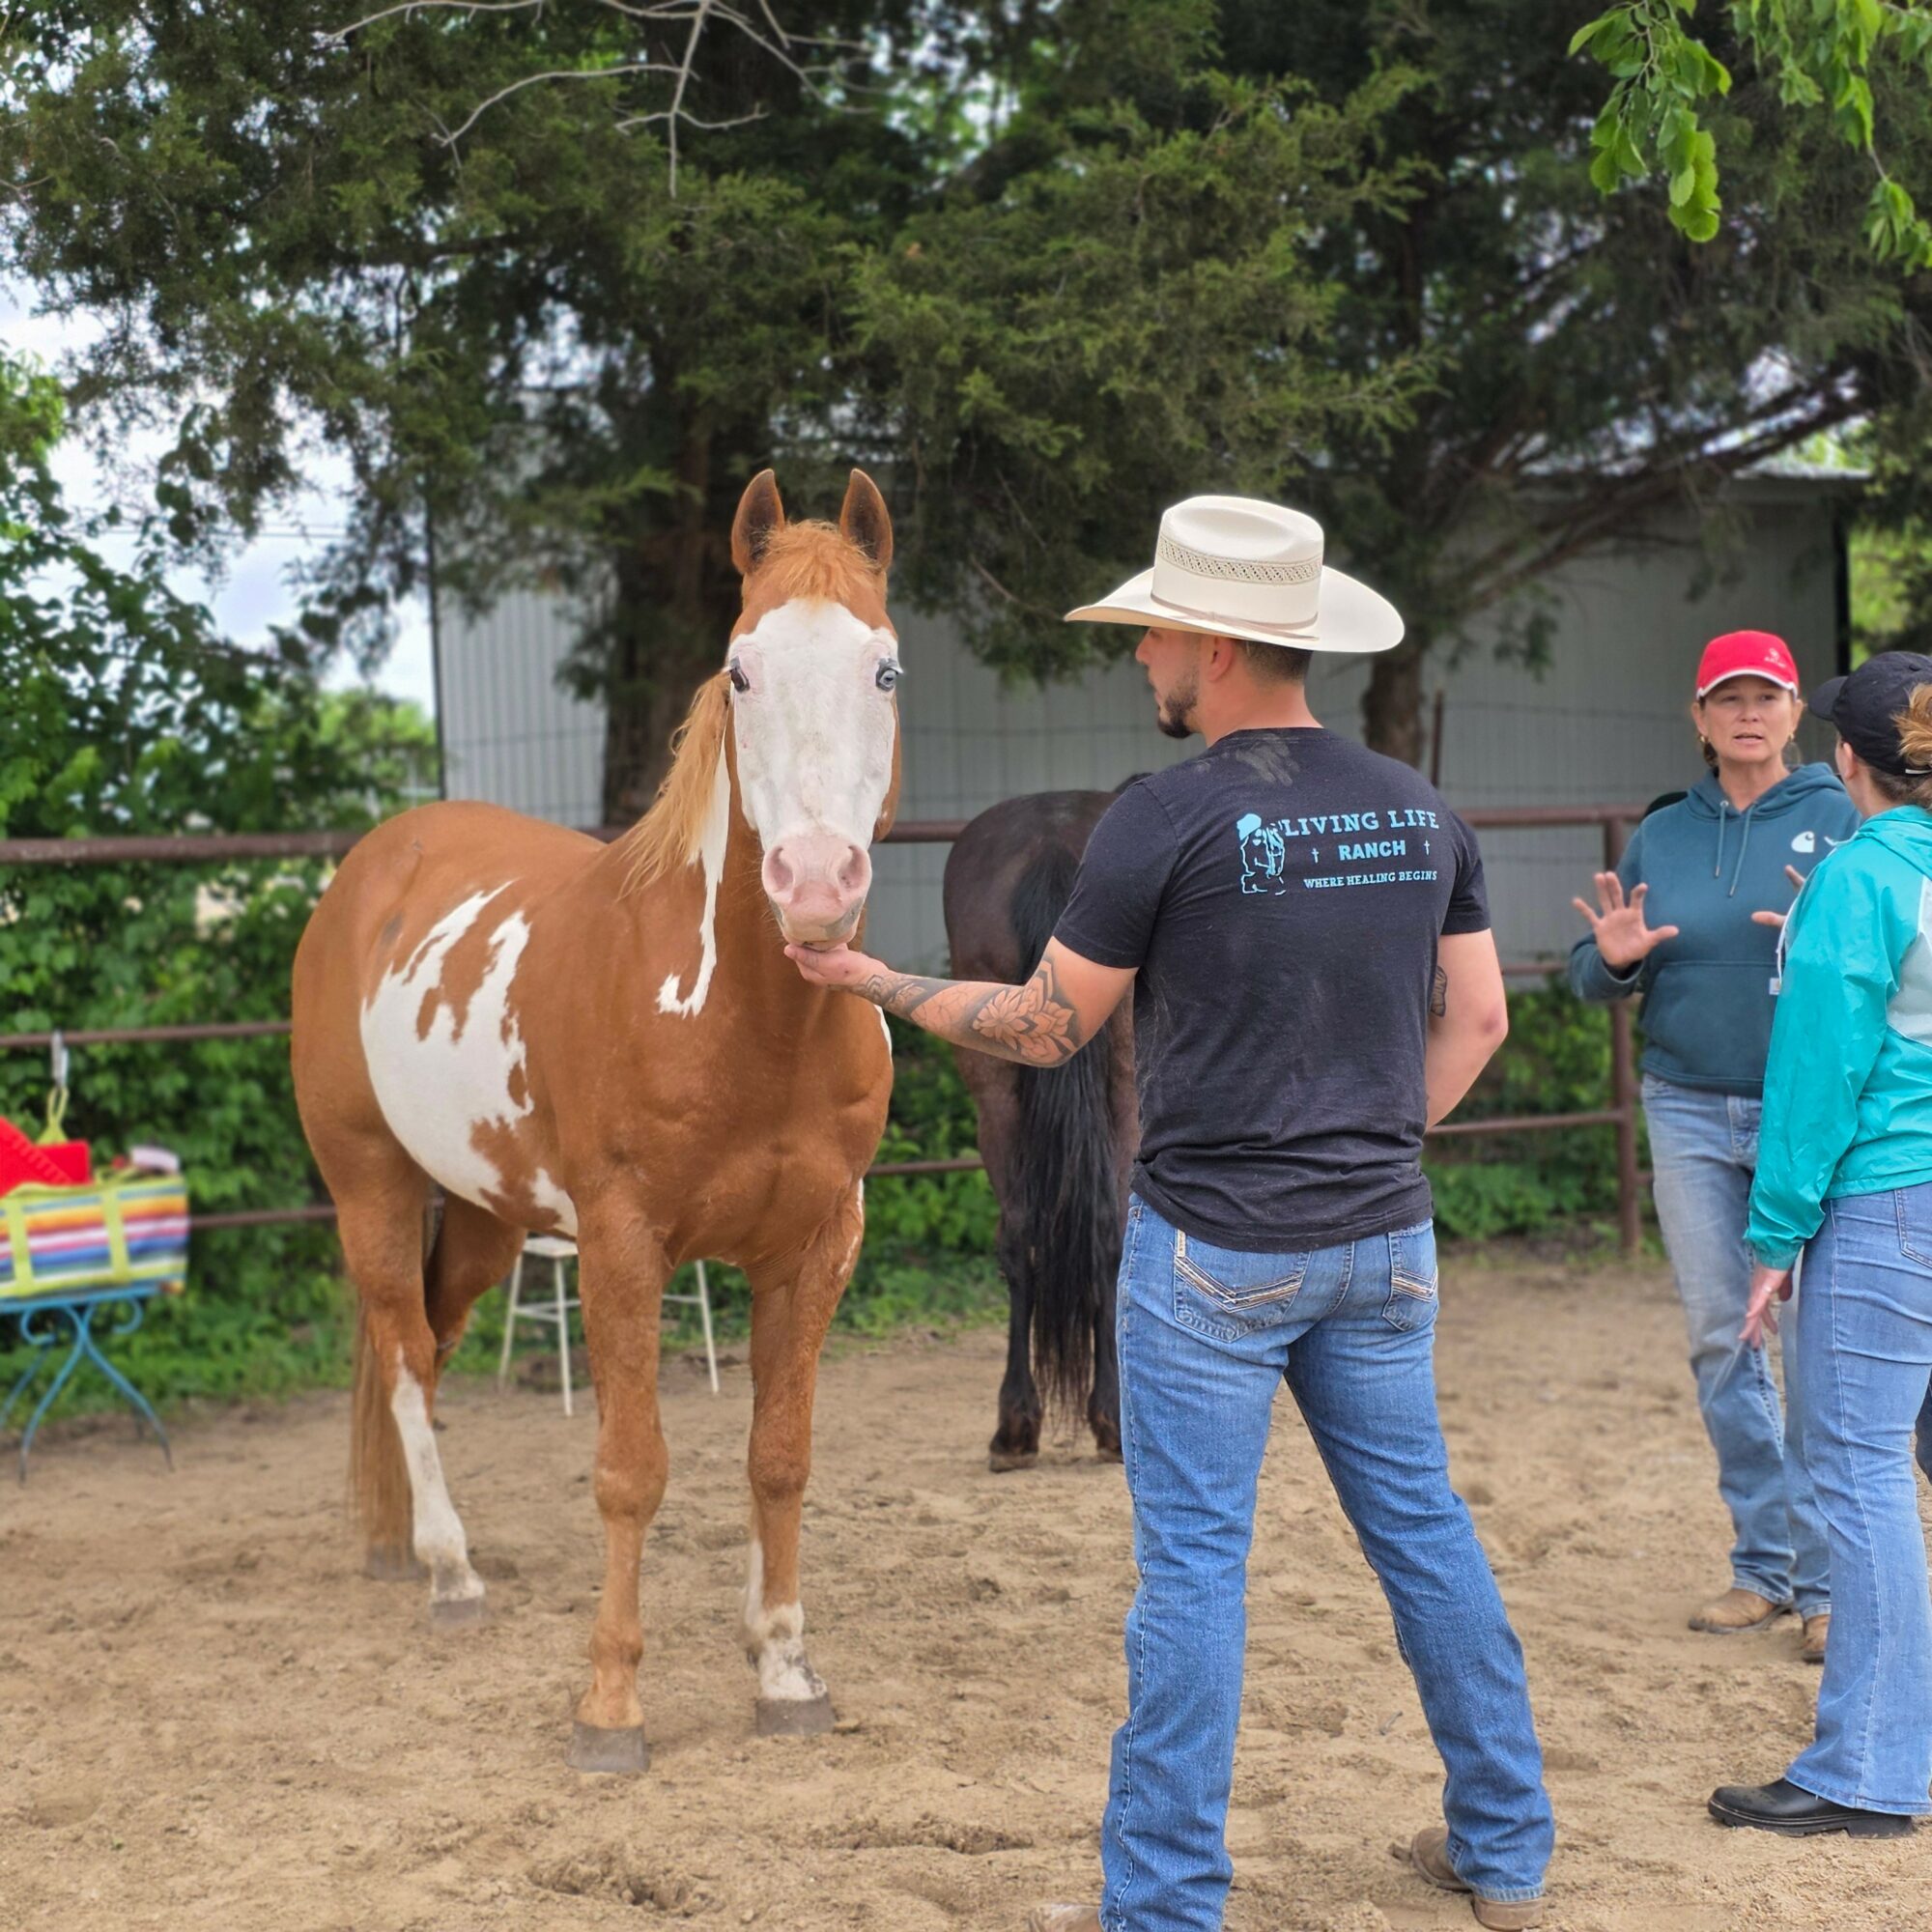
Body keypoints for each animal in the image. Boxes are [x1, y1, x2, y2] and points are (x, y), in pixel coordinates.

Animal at [291, 468, 902, 1774]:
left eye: (883, 668)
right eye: (739, 670)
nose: (814, 886)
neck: (746, 1022)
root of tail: (371, 865)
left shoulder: (815, 1247)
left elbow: (778, 1459)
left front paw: (783, 1668)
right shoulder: (622, 1244)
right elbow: (631, 1469)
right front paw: (610, 1703)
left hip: (485, 1220)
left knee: (429, 1342)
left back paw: (406, 1545)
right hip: (372, 1185)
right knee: (405, 1360)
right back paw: (450, 1572)